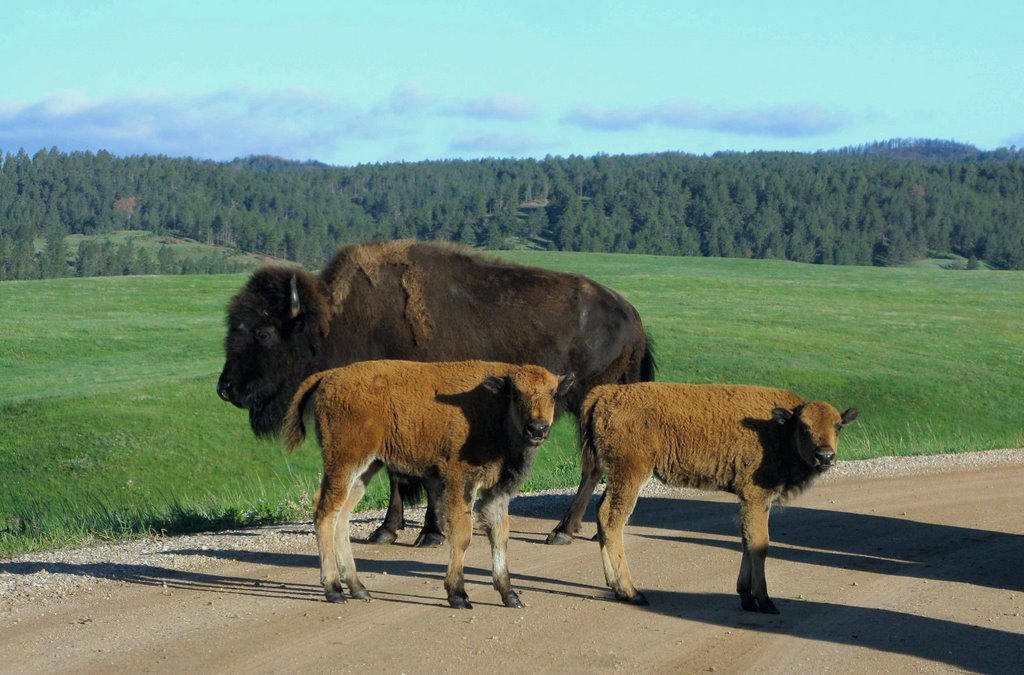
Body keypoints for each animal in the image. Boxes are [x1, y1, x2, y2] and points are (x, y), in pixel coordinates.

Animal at [216, 240, 655, 544]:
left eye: (263, 331)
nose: (226, 388)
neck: (340, 320)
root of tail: (631, 314)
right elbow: (397, 473)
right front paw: (387, 530)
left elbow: (419, 475)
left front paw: (428, 532)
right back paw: (594, 526)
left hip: (589, 402)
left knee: (592, 465)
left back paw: (563, 530)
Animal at [284, 362, 573, 610]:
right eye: (516, 394)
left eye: (553, 394)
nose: (537, 428)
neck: (494, 405)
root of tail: (329, 376)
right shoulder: (460, 481)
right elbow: (462, 535)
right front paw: (458, 595)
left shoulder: (497, 490)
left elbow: (500, 535)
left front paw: (510, 595)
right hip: (345, 462)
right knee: (325, 512)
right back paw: (334, 590)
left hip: (366, 468)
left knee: (341, 515)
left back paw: (358, 588)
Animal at [581, 383, 860, 614]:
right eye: (804, 427)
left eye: (838, 426)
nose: (825, 456)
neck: (780, 429)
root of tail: (604, 393)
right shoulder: (755, 496)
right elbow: (760, 544)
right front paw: (765, 601)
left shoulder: (752, 501)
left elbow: (747, 541)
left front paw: (746, 596)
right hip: (630, 475)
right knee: (612, 520)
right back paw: (632, 592)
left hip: (617, 477)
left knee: (601, 514)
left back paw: (616, 588)